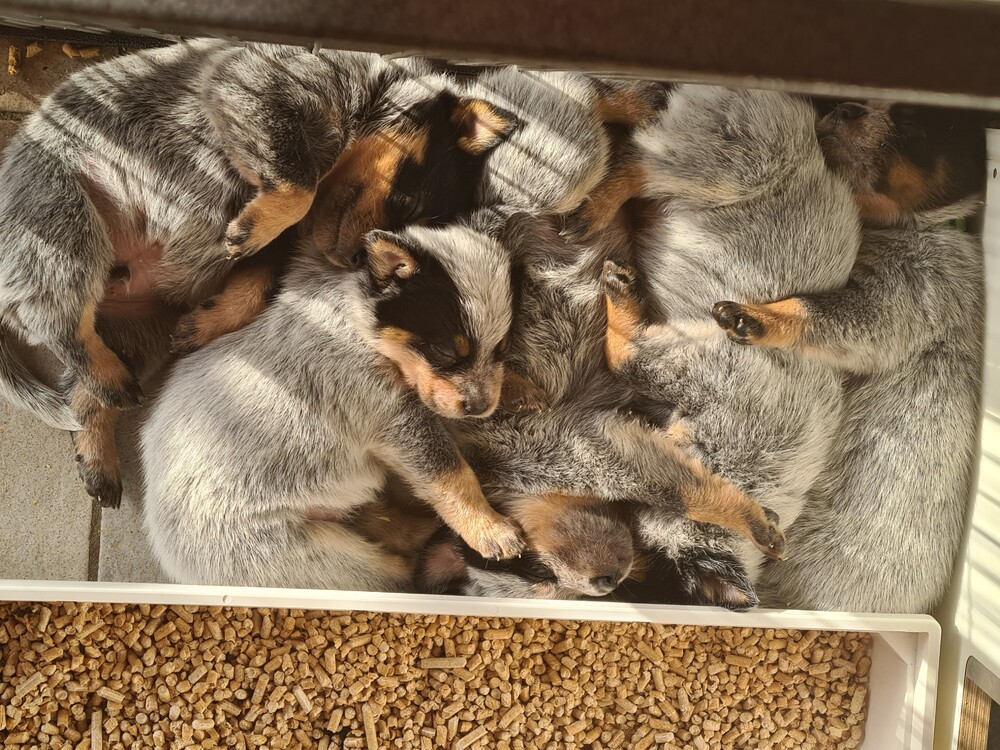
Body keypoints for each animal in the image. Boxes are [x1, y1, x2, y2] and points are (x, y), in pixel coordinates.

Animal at [0, 39, 515, 509]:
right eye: (407, 203)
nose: (362, 261)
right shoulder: (257, 88)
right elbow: (299, 184)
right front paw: (259, 223)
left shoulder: (276, 248)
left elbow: (255, 284)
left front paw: (204, 322)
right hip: (62, 217)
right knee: (59, 320)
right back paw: (103, 379)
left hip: (137, 327)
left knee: (83, 392)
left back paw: (98, 449)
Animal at [141, 223, 526, 590]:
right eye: (445, 352)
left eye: (502, 348)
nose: (480, 406)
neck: (356, 318)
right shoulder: (393, 416)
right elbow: (452, 474)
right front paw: (491, 529)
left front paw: (519, 388)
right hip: (313, 556)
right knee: (399, 573)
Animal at [599, 85, 862, 586]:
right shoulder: (685, 363)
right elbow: (621, 350)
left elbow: (622, 353)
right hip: (734, 167)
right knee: (636, 161)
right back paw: (593, 205)